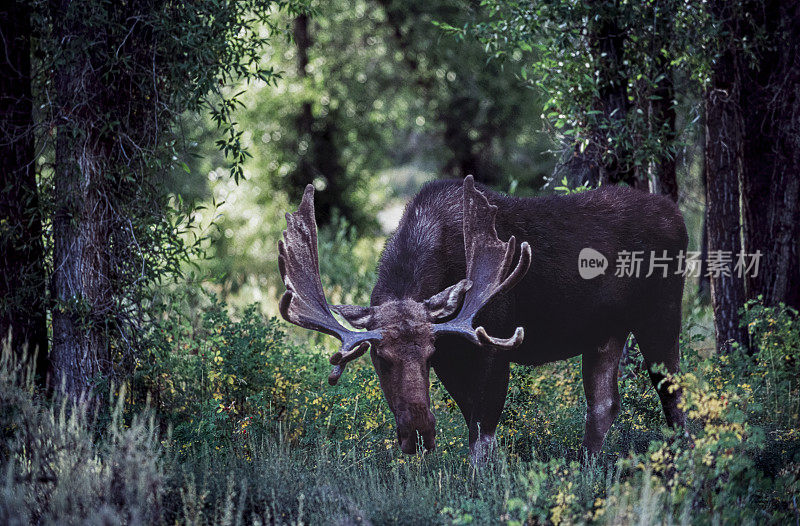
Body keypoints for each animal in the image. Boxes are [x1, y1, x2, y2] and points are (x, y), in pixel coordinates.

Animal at [278, 177, 684, 462]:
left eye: (428, 352)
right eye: (381, 358)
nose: (419, 432)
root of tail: (677, 214)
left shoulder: (493, 343)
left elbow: (482, 436)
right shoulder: (453, 360)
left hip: (661, 312)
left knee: (673, 391)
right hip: (606, 331)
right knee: (603, 403)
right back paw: (586, 468)